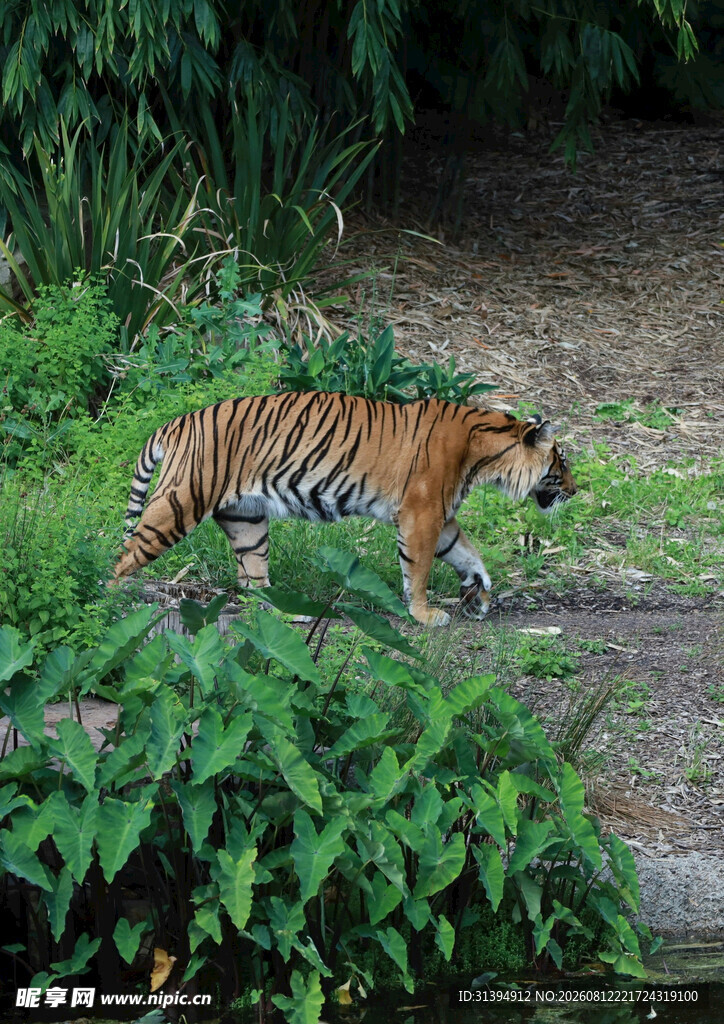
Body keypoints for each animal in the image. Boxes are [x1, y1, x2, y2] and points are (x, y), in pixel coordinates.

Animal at [113, 391, 576, 626]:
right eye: (563, 462)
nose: (574, 490)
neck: (485, 454)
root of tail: (178, 421)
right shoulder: (421, 512)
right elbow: (419, 569)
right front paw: (424, 615)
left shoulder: (440, 515)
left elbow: (465, 551)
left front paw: (478, 588)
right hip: (180, 503)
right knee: (123, 559)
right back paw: (114, 602)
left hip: (247, 520)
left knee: (252, 582)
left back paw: (290, 613)